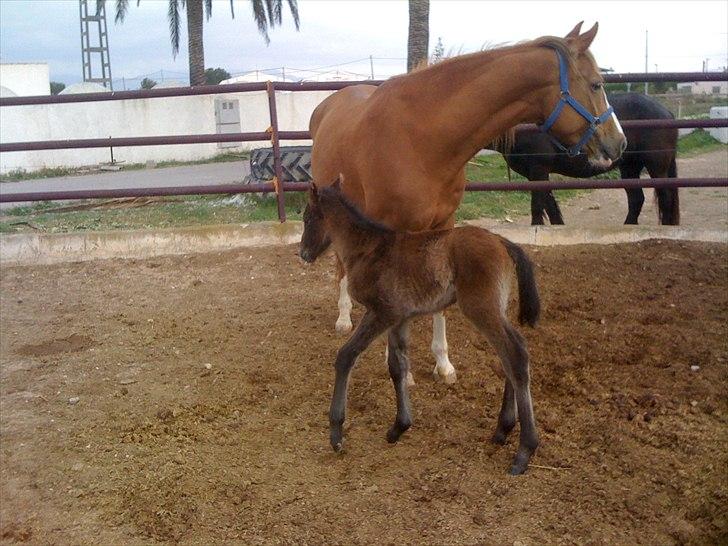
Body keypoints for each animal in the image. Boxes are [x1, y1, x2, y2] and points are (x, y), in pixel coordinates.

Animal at [298, 182, 544, 472]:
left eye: (307, 218)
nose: (303, 253)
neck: (368, 249)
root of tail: (502, 242)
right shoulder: (400, 318)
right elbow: (397, 366)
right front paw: (399, 427)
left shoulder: (382, 313)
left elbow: (346, 356)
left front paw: (336, 434)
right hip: (495, 308)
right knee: (510, 353)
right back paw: (502, 431)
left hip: (481, 307)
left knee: (514, 352)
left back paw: (524, 451)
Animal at [308, 22, 624, 382]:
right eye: (597, 84)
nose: (619, 143)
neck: (422, 137)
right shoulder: (394, 227)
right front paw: (399, 367)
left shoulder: (444, 224)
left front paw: (443, 363)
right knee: (340, 262)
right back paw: (343, 316)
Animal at [500, 92, 676, 224]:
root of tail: (666, 112)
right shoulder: (536, 175)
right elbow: (551, 208)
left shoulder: (538, 170)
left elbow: (537, 208)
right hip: (630, 167)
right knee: (636, 199)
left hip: (656, 168)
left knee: (665, 199)